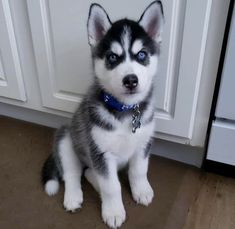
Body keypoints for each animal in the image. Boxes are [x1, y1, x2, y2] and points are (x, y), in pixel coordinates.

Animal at [42, 0, 163, 228]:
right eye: (112, 57)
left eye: (142, 55)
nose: (130, 80)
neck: (126, 110)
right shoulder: (100, 152)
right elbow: (111, 186)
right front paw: (113, 211)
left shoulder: (143, 144)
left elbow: (138, 170)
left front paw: (141, 191)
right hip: (67, 139)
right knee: (72, 173)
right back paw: (73, 197)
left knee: (88, 172)